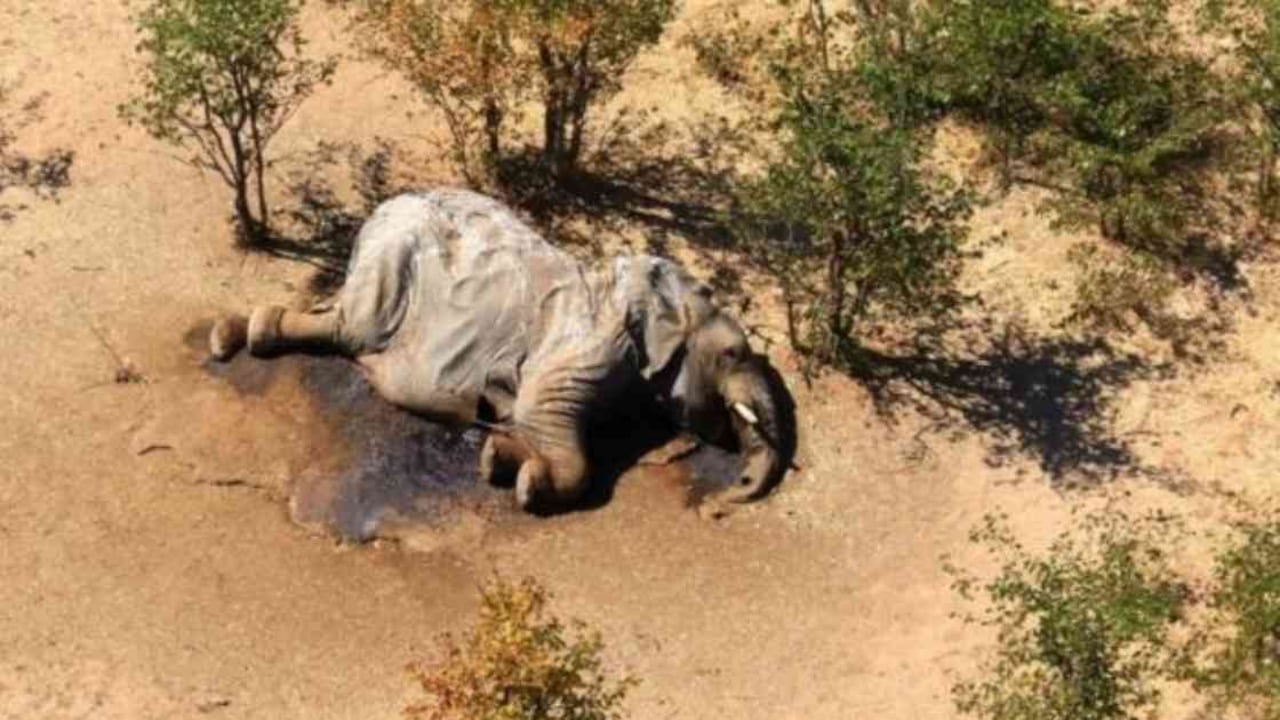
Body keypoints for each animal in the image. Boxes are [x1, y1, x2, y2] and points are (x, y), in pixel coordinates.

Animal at [209, 189, 793, 513]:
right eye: (732, 354)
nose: (721, 503)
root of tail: (383, 207)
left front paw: (499, 455)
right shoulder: (590, 344)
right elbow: (545, 417)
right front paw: (523, 480)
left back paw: (235, 333)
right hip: (392, 259)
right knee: (351, 328)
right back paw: (237, 337)